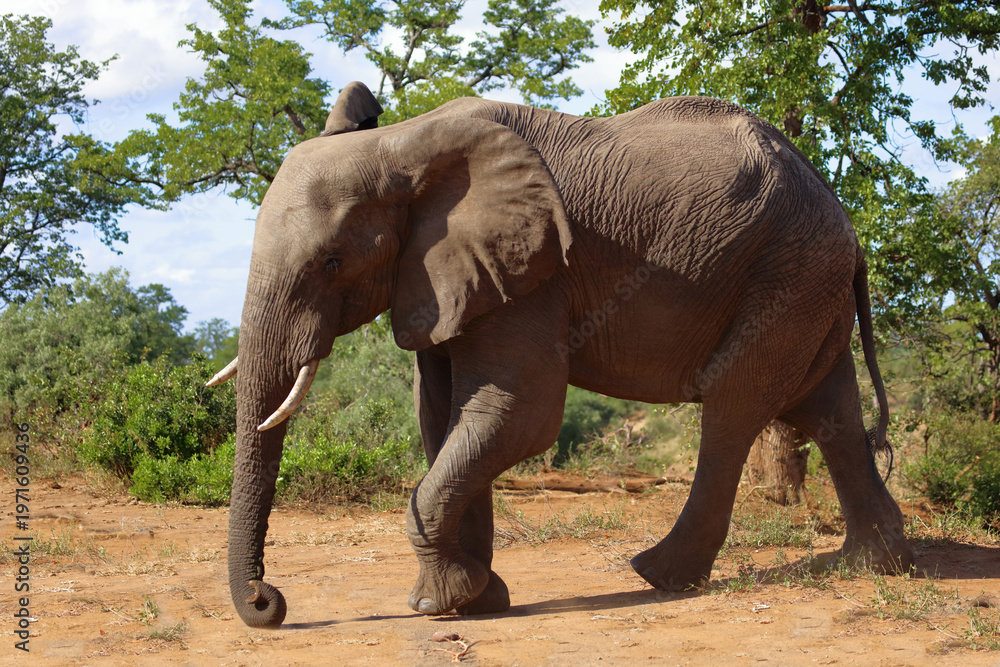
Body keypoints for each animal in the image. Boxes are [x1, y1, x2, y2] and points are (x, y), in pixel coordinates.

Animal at [208, 81, 915, 628]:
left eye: (331, 262)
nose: (269, 602)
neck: (404, 144)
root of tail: (848, 227)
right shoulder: (450, 278)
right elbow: (442, 415)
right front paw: (478, 601)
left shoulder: (535, 270)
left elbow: (520, 412)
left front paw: (439, 606)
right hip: (806, 279)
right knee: (829, 409)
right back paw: (878, 563)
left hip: (787, 273)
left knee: (733, 403)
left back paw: (659, 577)